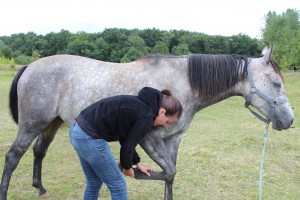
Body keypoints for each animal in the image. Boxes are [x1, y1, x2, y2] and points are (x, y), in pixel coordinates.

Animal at [0, 46, 292, 199]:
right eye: (276, 84)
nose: (289, 120)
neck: (183, 83)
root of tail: (30, 66)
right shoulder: (149, 137)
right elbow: (167, 171)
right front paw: (138, 173)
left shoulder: (172, 139)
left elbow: (171, 174)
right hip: (32, 124)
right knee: (13, 156)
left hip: (51, 123)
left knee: (39, 152)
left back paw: (40, 188)